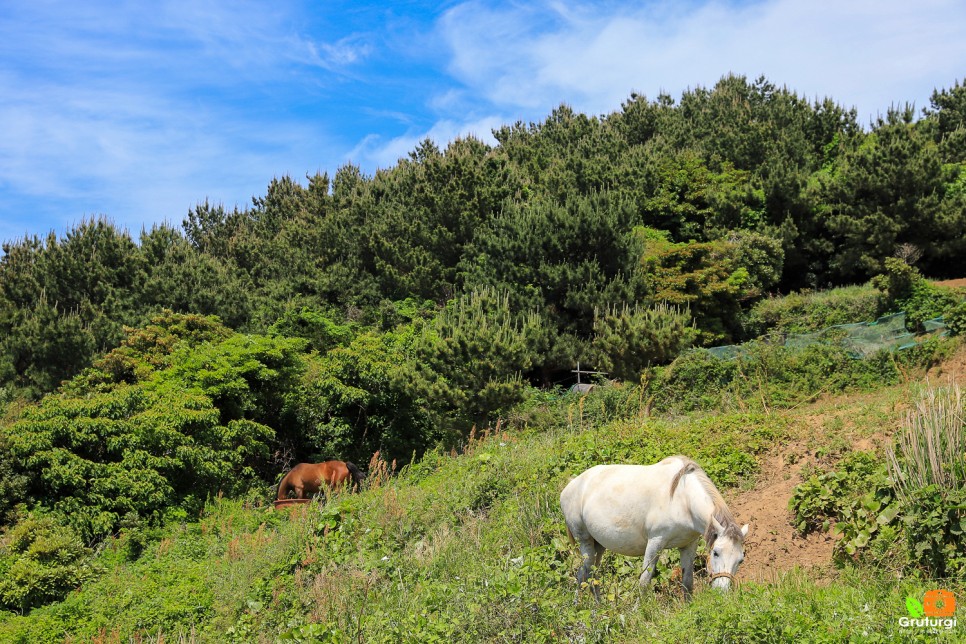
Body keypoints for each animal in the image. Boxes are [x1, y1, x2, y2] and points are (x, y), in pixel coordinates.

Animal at [560, 458, 748, 600]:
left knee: (588, 575)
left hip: (598, 546)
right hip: (585, 542)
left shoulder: (689, 545)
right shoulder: (655, 542)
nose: (722, 593)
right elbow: (644, 581)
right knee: (586, 575)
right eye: (715, 553)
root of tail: (570, 487)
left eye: (740, 560)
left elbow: (687, 582)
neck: (682, 498)